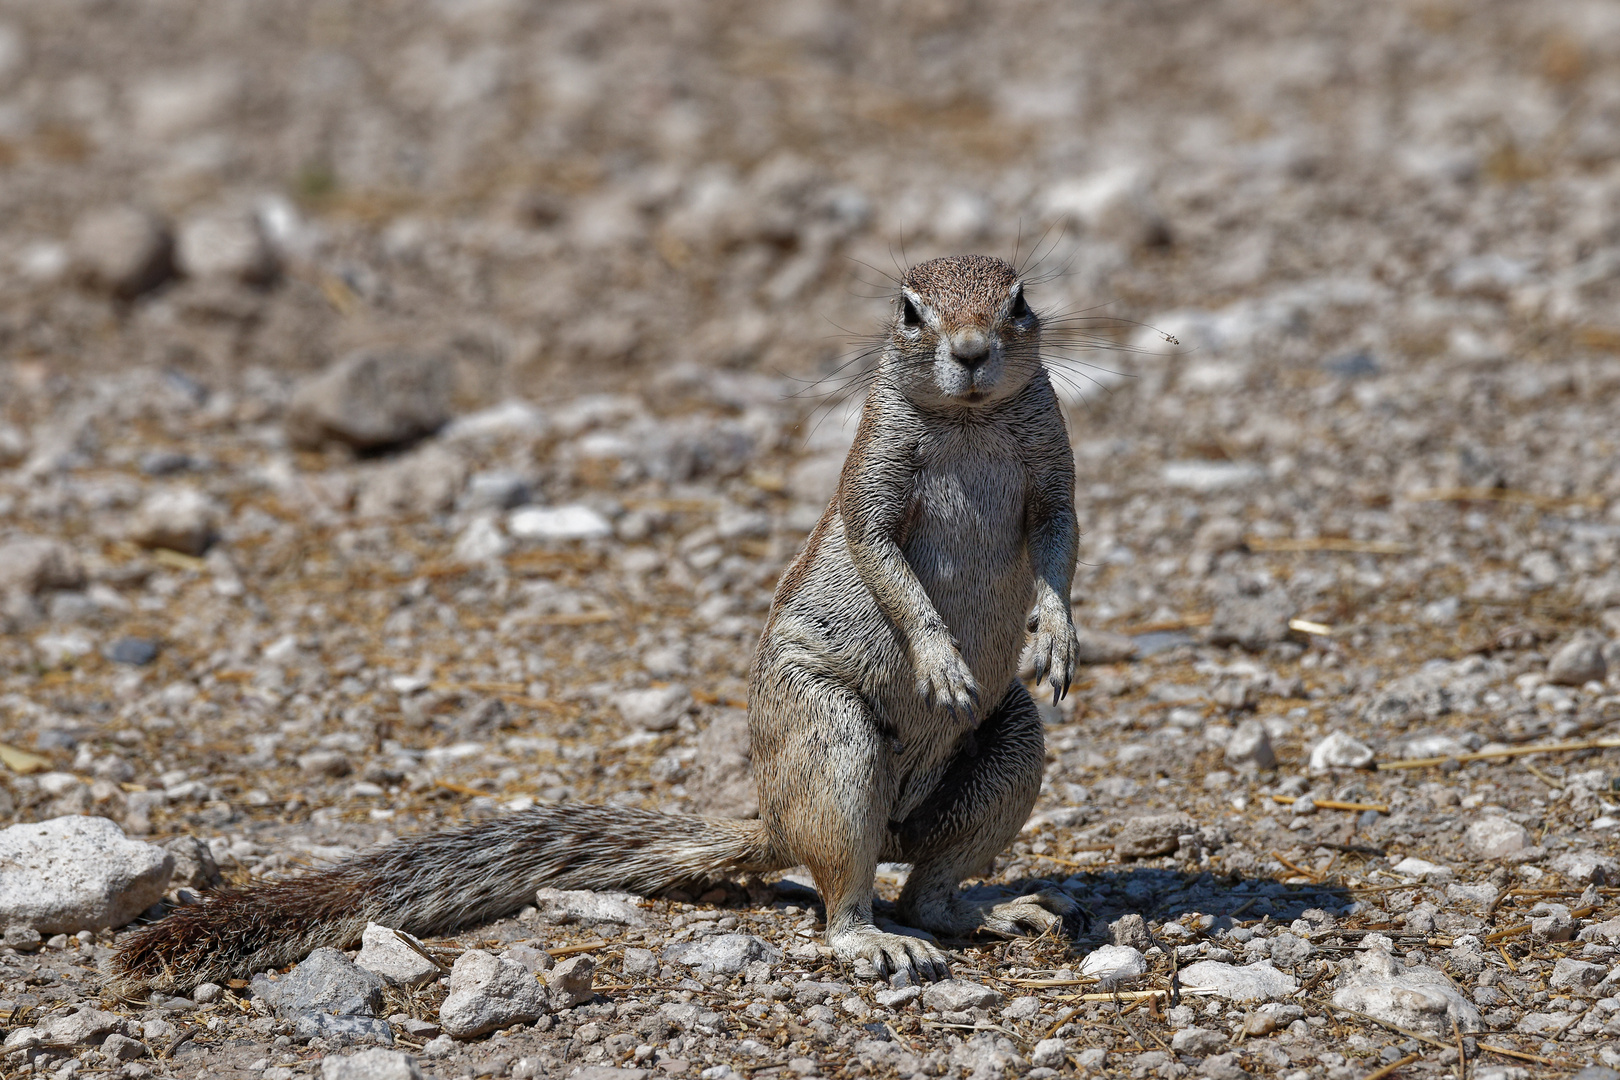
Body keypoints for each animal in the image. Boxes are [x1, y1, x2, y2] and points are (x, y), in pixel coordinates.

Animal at [110, 254, 1075, 997]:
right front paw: (941, 658)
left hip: (1011, 745)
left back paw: (991, 910)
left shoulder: (1054, 473)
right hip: (832, 747)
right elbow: (883, 558)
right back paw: (870, 939)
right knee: (848, 887)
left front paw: (1059, 636)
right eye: (908, 310)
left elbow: (1062, 541)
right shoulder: (873, 484)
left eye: (1020, 298)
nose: (973, 351)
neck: (970, 418)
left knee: (927, 885)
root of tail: (775, 821)